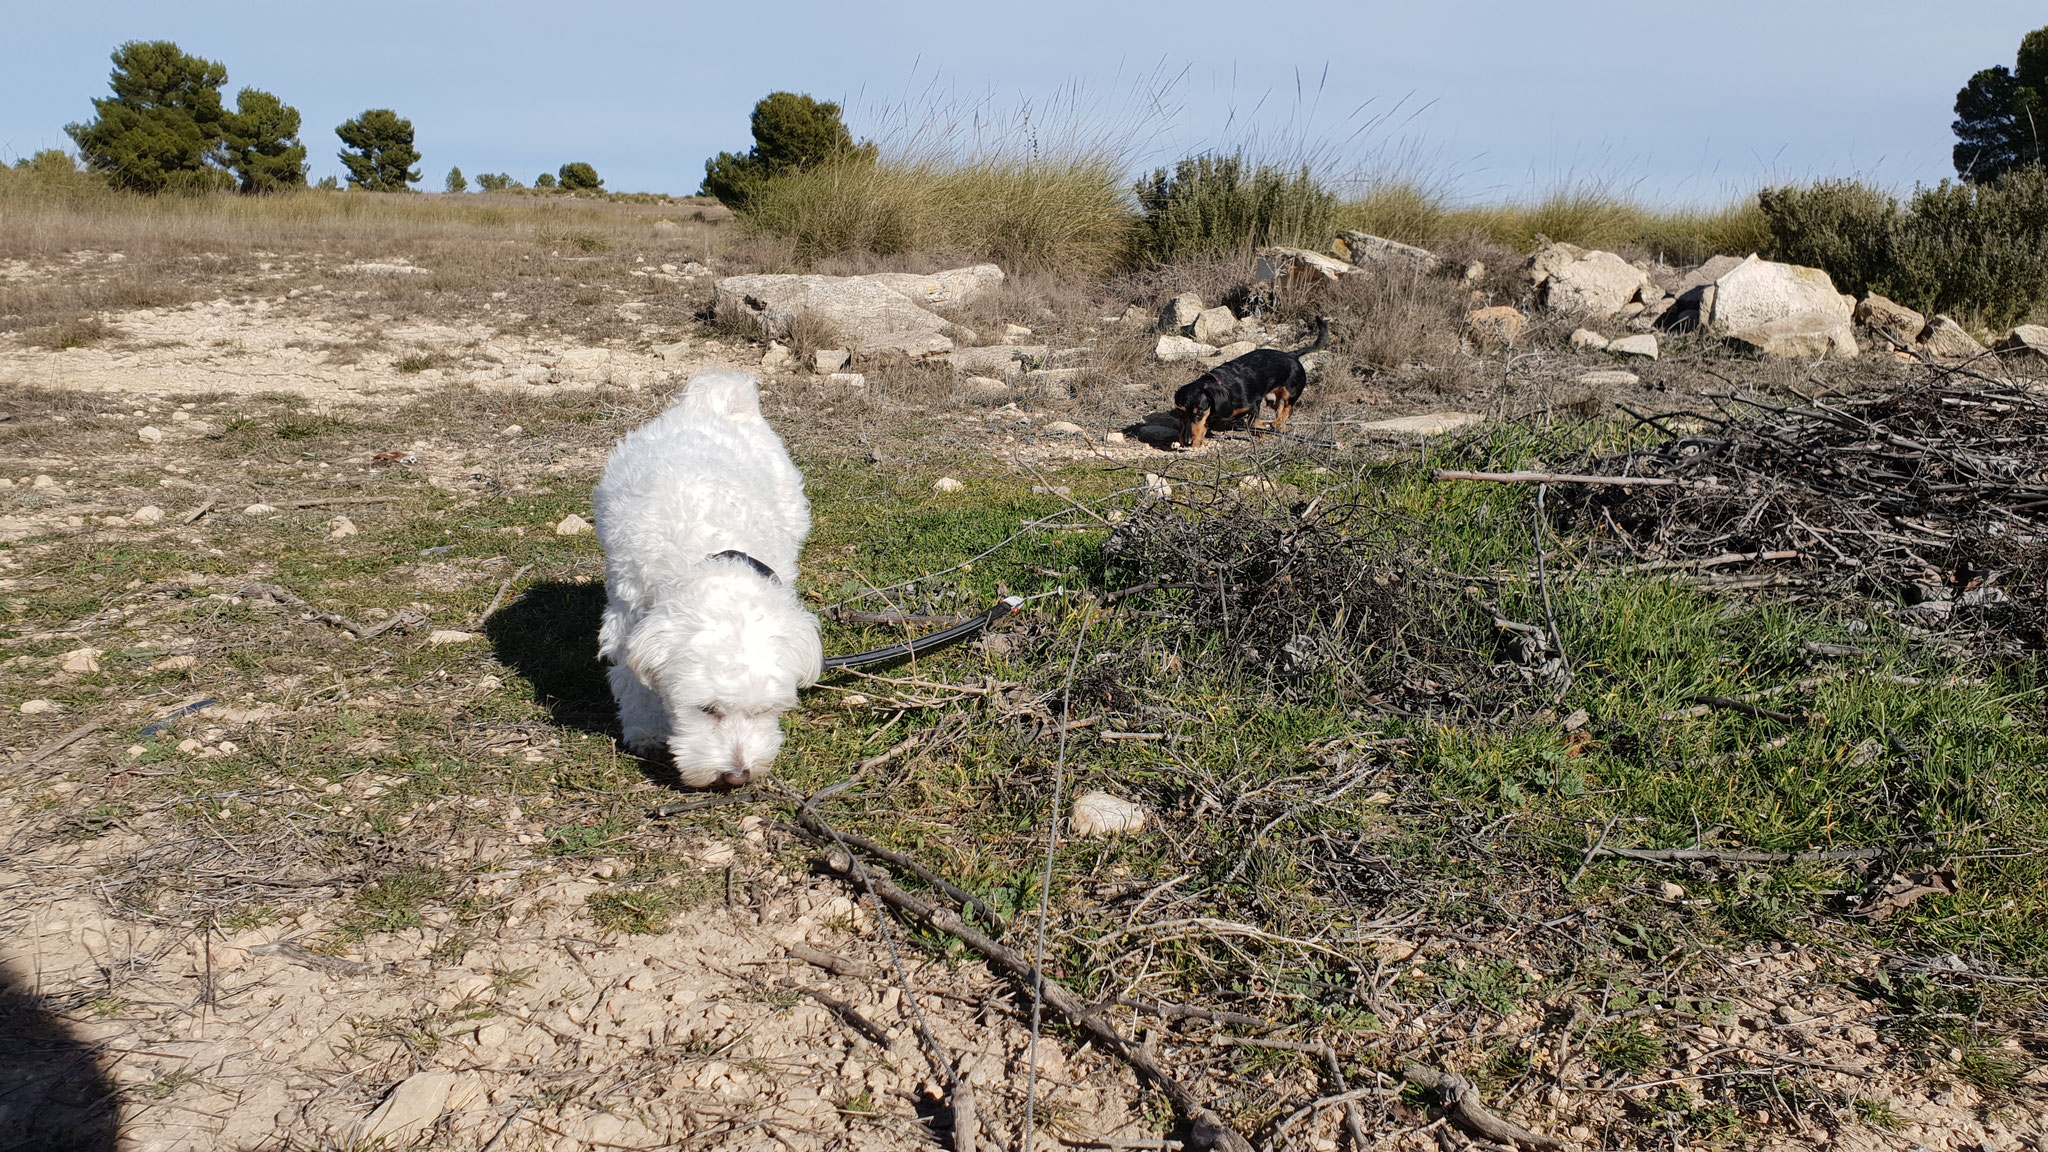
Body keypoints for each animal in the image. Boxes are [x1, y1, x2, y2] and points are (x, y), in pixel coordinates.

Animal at [589, 373, 819, 783]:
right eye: (706, 709)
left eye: (763, 711)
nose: (737, 776)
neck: (716, 555)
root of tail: (714, 403)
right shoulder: (627, 617)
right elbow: (633, 682)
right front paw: (646, 729)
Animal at [1179, 315, 1335, 446]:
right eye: (1181, 412)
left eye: (1199, 412)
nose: (1187, 443)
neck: (1222, 386)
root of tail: (1291, 355)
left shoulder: (1253, 404)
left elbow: (1252, 423)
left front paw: (1261, 431)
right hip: (1273, 400)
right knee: (1280, 410)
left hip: (1291, 393)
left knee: (1287, 410)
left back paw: (1277, 424)